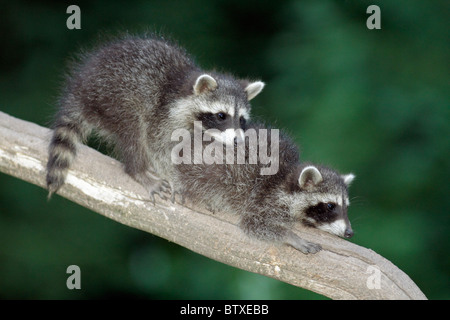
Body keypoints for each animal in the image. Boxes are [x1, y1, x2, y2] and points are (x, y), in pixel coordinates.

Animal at [45, 34, 264, 200]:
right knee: (133, 129)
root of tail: (80, 89)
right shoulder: (162, 114)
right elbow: (156, 146)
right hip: (114, 97)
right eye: (221, 115)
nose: (238, 141)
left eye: (242, 119)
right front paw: (172, 175)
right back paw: (138, 169)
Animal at [176, 123, 356, 255]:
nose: (350, 232)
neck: (286, 176)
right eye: (330, 206)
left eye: (346, 207)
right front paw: (291, 236)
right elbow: (253, 224)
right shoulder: (264, 197)